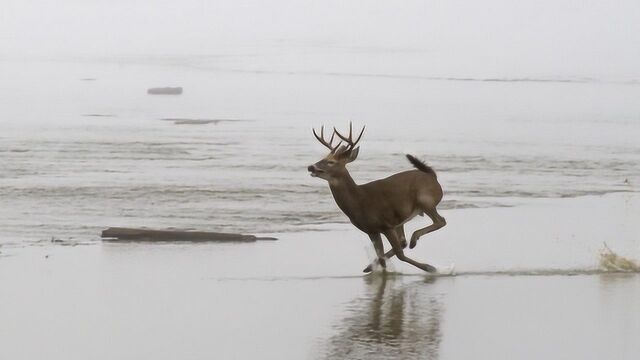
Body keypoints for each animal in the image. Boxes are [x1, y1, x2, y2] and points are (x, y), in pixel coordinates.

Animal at [310, 122, 444, 272]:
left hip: (425, 200)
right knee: (403, 241)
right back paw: (370, 266)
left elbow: (400, 255)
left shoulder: (386, 224)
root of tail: (433, 176)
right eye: (322, 158)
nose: (311, 167)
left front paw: (429, 267)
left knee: (440, 221)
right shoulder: (371, 230)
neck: (358, 201)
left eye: (331, 162)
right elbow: (382, 258)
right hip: (403, 218)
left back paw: (414, 241)